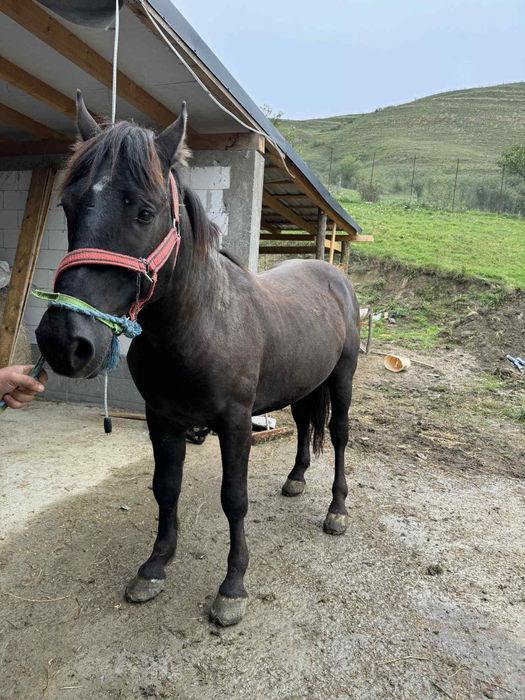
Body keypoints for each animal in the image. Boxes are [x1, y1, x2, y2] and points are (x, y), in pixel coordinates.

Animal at [35, 92, 360, 626]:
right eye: (68, 205)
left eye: (145, 212)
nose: (64, 341)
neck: (199, 325)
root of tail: (333, 276)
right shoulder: (161, 419)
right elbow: (166, 488)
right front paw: (154, 567)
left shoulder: (235, 423)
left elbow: (234, 499)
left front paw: (232, 587)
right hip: (303, 383)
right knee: (303, 424)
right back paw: (295, 480)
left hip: (342, 380)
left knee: (337, 435)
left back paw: (337, 510)